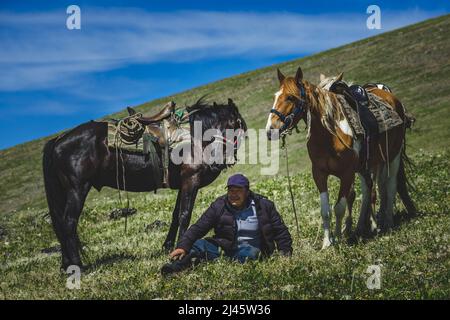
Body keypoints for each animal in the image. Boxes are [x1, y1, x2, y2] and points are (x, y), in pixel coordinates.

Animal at [43, 98, 246, 270]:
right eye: (236, 125)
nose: (221, 162)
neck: (195, 139)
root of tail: (58, 140)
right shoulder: (191, 180)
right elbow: (185, 215)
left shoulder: (183, 184)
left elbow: (175, 215)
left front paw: (167, 247)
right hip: (77, 189)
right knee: (68, 223)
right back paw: (77, 266)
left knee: (60, 224)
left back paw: (66, 265)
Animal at [268, 67, 414, 248]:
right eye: (275, 96)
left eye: (290, 97)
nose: (270, 130)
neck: (329, 135)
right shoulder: (319, 174)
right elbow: (325, 210)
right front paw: (327, 243)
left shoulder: (347, 174)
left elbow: (339, 207)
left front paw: (338, 238)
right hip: (368, 165)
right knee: (370, 190)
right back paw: (362, 227)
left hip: (392, 157)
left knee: (390, 185)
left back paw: (387, 222)